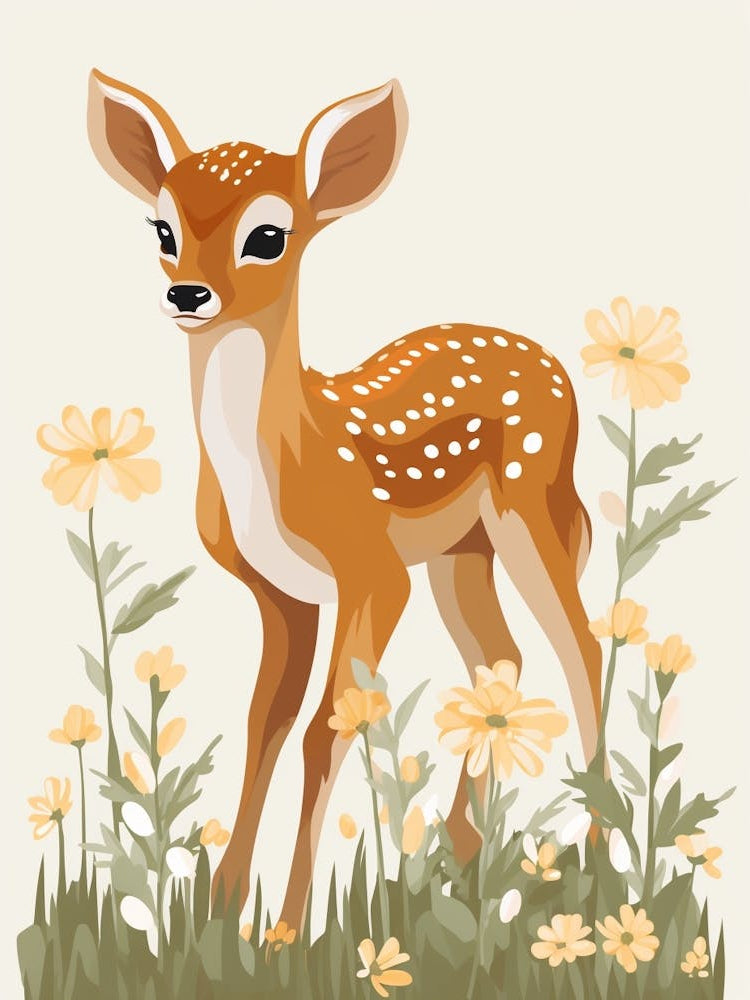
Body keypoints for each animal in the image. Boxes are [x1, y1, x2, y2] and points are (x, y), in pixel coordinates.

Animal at [87, 69, 601, 928]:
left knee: (582, 648)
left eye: (268, 235)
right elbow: (265, 723)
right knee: (499, 654)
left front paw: (287, 929)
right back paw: (466, 851)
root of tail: (551, 363)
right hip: (460, 552)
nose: (189, 293)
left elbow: (326, 731)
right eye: (161, 229)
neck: (287, 460)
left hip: (528, 508)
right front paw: (222, 908)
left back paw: (599, 853)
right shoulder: (279, 593)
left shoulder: (371, 571)